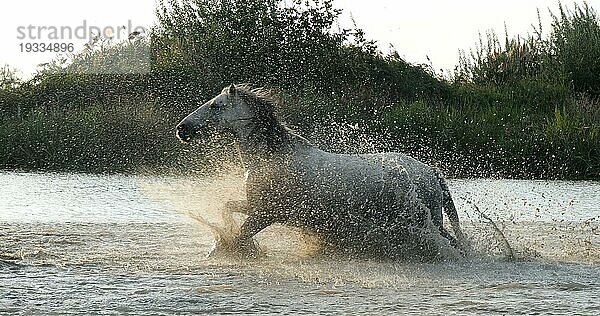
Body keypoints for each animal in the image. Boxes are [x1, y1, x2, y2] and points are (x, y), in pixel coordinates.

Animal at [176, 83, 466, 260]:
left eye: (215, 105)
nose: (182, 129)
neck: (272, 158)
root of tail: (429, 170)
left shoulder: (267, 213)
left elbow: (238, 237)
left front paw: (227, 251)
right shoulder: (256, 206)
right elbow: (227, 208)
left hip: (427, 222)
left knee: (452, 243)